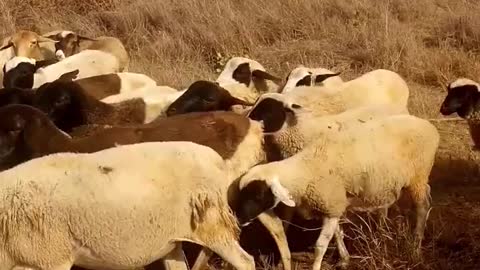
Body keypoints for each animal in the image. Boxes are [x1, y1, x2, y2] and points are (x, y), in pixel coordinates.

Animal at [234, 114, 440, 270]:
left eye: (258, 195)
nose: (239, 219)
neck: (307, 170)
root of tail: (429, 126)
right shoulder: (335, 205)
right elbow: (338, 234)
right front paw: (344, 259)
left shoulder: (331, 206)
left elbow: (320, 245)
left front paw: (317, 266)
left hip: (418, 176)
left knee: (422, 208)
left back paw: (415, 246)